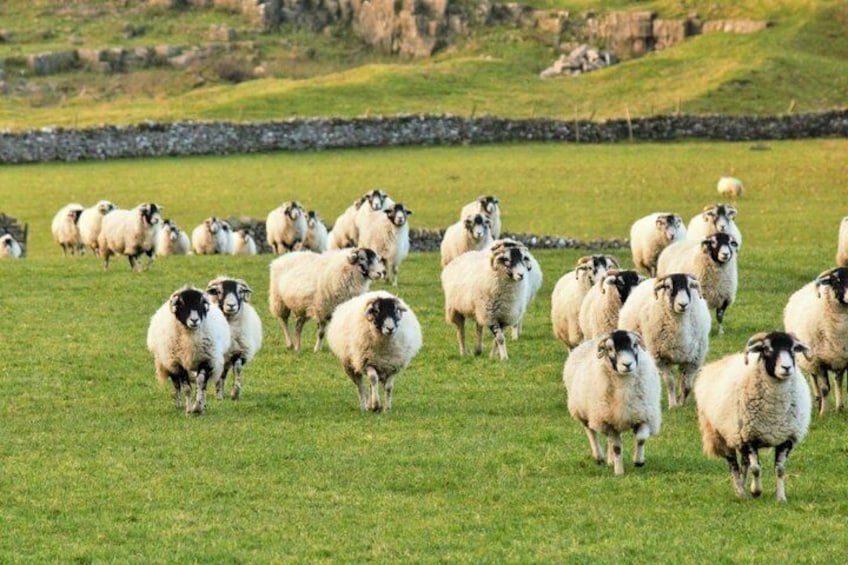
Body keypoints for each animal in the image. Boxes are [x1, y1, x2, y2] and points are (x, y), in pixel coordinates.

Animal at [146, 285, 231, 414]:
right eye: (181, 303)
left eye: (201, 302)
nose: (194, 320)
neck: (190, 340)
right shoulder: (178, 364)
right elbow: (186, 388)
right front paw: (189, 409)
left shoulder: (206, 360)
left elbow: (201, 383)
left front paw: (198, 407)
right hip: (170, 364)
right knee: (176, 385)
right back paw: (178, 404)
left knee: (202, 385)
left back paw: (203, 403)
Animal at [562, 330, 662, 476]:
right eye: (609, 349)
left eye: (635, 344)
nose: (627, 364)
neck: (624, 386)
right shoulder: (607, 421)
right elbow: (617, 447)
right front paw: (619, 472)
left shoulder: (644, 415)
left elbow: (641, 438)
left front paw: (638, 461)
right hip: (584, 413)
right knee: (591, 433)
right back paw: (599, 457)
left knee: (609, 439)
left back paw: (610, 461)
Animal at [618, 274, 711, 408]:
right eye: (668, 286)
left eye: (690, 286)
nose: (683, 304)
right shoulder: (660, 359)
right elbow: (670, 382)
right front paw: (673, 405)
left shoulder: (694, 360)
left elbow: (687, 385)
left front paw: (683, 404)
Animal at [694, 331, 812, 502]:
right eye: (767, 349)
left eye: (793, 349)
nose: (786, 368)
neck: (774, 411)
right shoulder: (749, 438)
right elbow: (756, 468)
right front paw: (756, 491)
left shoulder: (786, 439)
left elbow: (780, 469)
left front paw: (781, 498)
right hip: (722, 435)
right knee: (733, 465)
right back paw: (740, 493)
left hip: (738, 438)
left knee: (744, 463)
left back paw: (743, 487)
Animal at [783, 267, 848, 415]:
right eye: (837, 281)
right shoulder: (818, 360)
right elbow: (825, 388)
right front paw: (823, 413)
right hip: (808, 357)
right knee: (813, 377)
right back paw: (818, 400)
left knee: (838, 380)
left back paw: (839, 407)